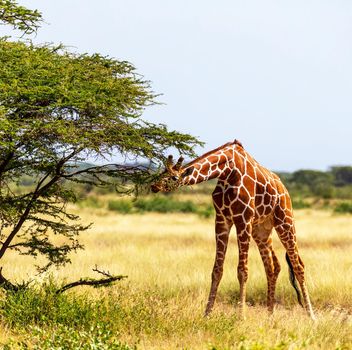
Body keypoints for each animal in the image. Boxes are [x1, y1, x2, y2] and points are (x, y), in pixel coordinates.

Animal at [150, 139, 314, 320]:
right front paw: (206, 314)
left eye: (173, 177)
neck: (226, 171)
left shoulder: (243, 219)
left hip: (285, 220)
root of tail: (284, 189)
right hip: (261, 230)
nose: (154, 186)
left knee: (298, 265)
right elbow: (217, 270)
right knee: (272, 266)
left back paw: (312, 317)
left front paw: (241, 317)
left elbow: (242, 271)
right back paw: (269, 316)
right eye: (162, 172)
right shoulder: (222, 219)